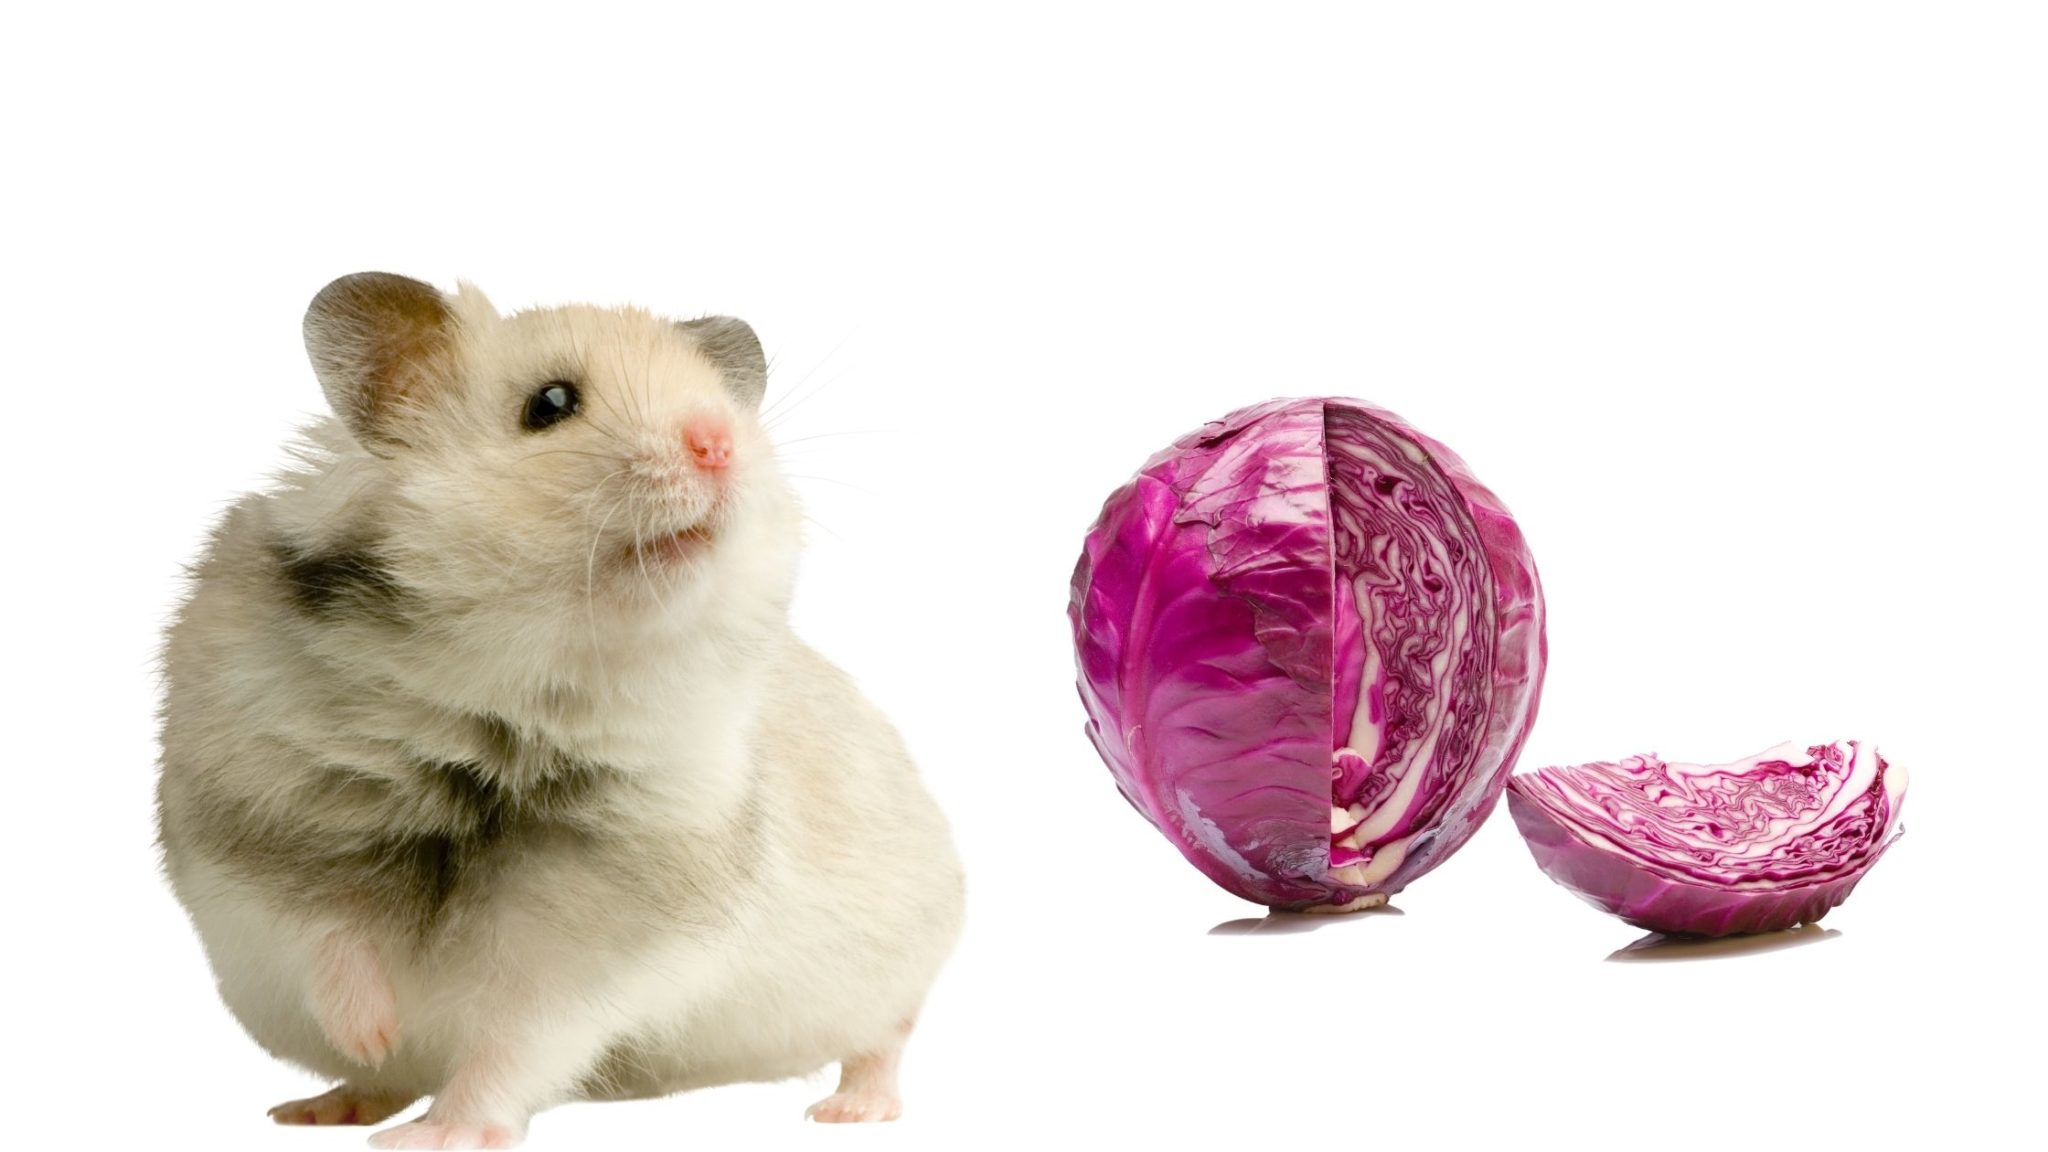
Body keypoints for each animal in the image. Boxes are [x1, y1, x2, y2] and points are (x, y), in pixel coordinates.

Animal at [154, 273, 965, 1149]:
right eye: (551, 404)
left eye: (722, 402)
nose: (719, 443)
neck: (502, 705)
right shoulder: (252, 835)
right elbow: (324, 939)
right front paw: (375, 1035)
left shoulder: (596, 951)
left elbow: (514, 1046)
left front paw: (438, 1134)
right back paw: (323, 1105)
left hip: (892, 970)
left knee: (885, 1039)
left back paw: (852, 1110)